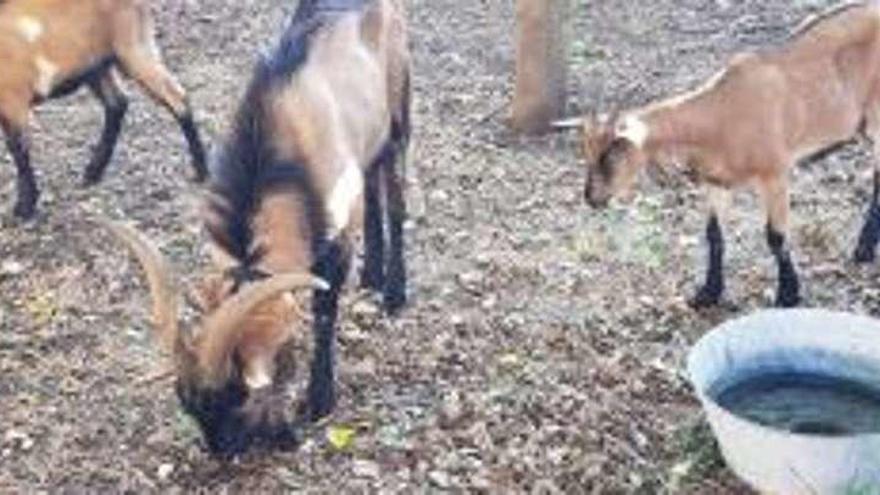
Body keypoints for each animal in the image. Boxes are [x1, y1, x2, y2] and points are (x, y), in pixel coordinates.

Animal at [0, 0, 207, 220]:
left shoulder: (14, 98)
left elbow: (18, 149)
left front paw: (24, 207)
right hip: (97, 65)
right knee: (118, 102)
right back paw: (93, 172)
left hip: (133, 50)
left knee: (177, 98)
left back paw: (201, 170)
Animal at [104, 0, 410, 456]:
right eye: (187, 404)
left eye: (238, 394)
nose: (224, 452)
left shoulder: (336, 235)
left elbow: (324, 312)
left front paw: (319, 400)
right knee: (374, 186)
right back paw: (372, 276)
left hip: (399, 107)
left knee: (394, 190)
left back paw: (394, 292)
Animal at [555, 2, 880, 308]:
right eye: (586, 153)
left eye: (610, 156)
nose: (592, 198)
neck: (721, 115)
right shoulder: (716, 181)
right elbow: (714, 236)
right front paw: (708, 293)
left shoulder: (775, 173)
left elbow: (775, 236)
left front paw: (788, 294)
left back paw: (863, 250)